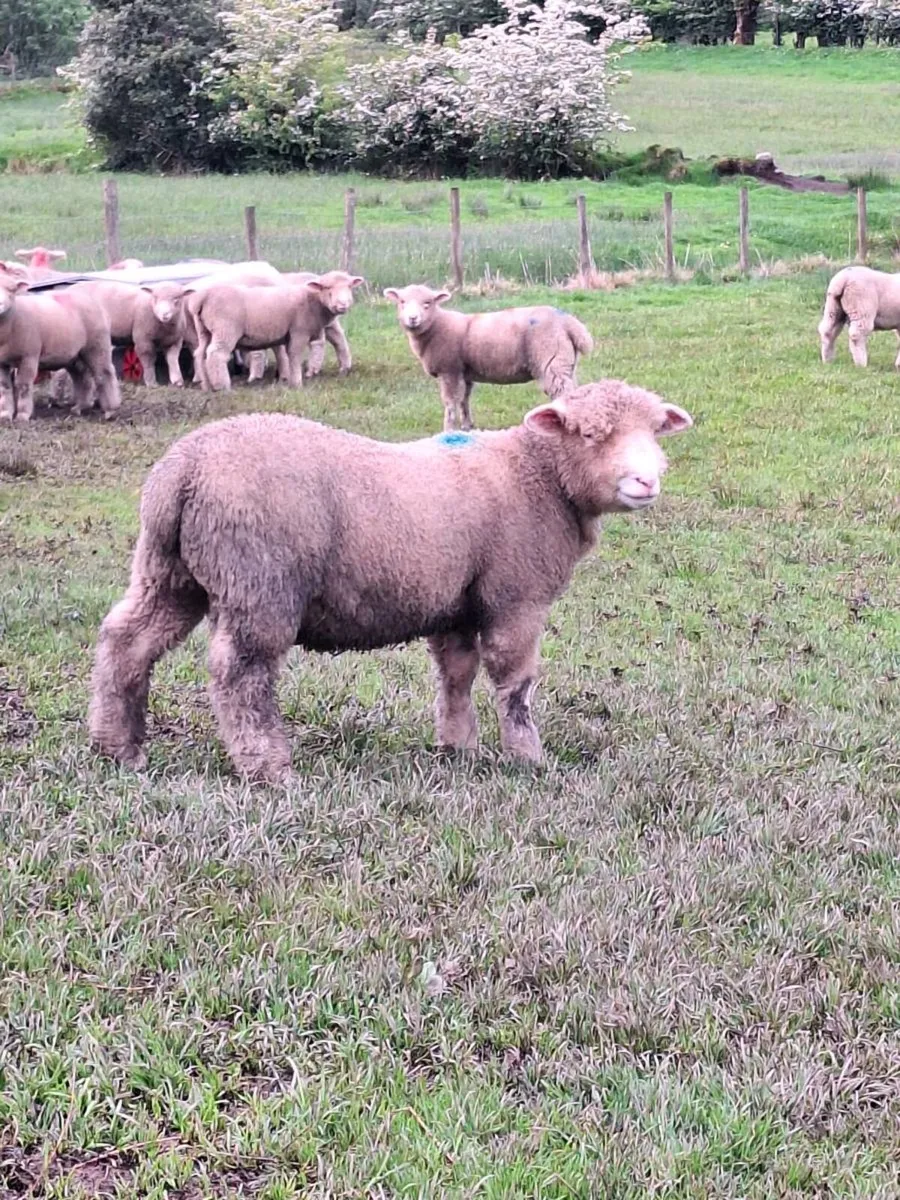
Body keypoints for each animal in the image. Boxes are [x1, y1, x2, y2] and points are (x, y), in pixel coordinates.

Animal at [0, 275, 121, 421]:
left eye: (11, 290)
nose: (0, 305)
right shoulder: (2, 362)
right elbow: (5, 386)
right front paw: (5, 414)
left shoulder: (29, 356)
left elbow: (23, 385)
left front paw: (22, 415)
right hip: (75, 355)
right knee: (82, 377)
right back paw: (80, 407)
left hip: (97, 345)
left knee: (104, 373)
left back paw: (111, 410)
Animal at [89, 380, 693, 781]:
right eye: (591, 434)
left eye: (655, 432)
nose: (646, 481)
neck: (538, 476)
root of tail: (182, 470)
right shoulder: (515, 596)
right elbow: (514, 684)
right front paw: (526, 757)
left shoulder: (454, 603)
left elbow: (456, 676)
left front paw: (457, 748)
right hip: (258, 581)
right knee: (241, 672)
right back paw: (269, 769)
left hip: (169, 571)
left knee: (127, 640)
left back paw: (119, 749)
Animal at [190, 270, 363, 391]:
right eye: (327, 288)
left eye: (349, 286)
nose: (342, 305)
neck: (311, 300)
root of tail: (203, 296)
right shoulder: (299, 332)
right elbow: (294, 355)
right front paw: (297, 383)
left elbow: (287, 355)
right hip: (225, 329)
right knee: (216, 353)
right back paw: (222, 386)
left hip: (204, 331)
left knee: (200, 353)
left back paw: (206, 386)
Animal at [383, 284, 594, 432]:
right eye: (402, 302)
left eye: (427, 303)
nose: (412, 318)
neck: (437, 326)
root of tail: (570, 323)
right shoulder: (464, 371)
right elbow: (464, 399)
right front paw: (467, 425)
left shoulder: (449, 370)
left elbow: (451, 403)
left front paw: (448, 430)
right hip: (566, 361)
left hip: (551, 359)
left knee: (563, 392)